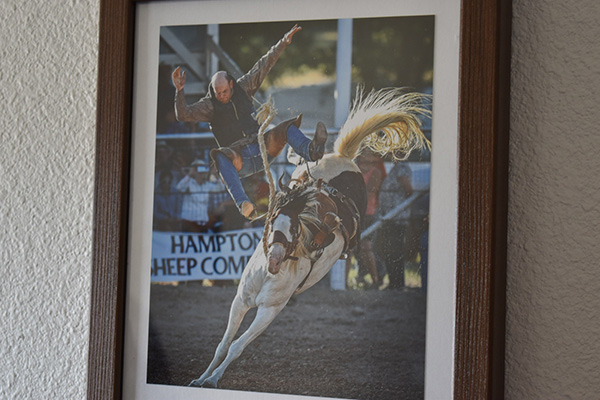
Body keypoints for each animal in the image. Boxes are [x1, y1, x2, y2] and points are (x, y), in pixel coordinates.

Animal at [190, 86, 428, 388]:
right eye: (272, 221)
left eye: (294, 230)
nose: (275, 258)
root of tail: (344, 158)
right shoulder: (241, 300)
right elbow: (223, 344)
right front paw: (201, 378)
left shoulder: (269, 310)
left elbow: (237, 346)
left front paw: (213, 380)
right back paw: (302, 153)